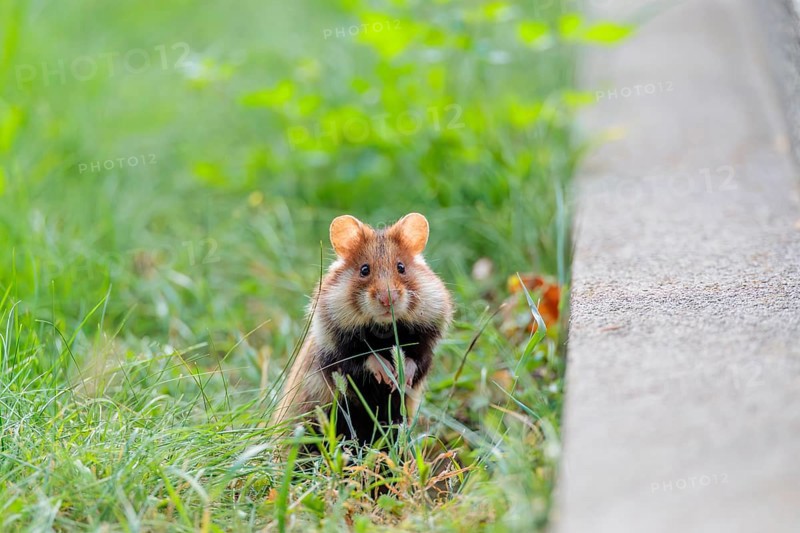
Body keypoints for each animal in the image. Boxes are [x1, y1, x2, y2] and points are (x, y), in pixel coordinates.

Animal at [271, 212, 453, 444]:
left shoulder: (426, 348)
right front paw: (388, 374)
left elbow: (415, 361)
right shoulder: (337, 356)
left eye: (401, 267)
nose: (387, 299)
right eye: (364, 269)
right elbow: (363, 359)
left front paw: (400, 377)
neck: (384, 330)